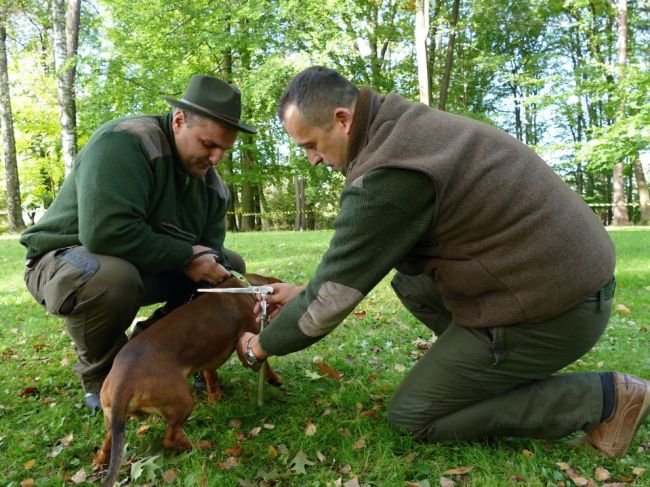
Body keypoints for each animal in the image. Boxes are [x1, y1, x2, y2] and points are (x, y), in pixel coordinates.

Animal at [93, 274, 278, 487]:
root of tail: (122, 384)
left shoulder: (208, 363)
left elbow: (211, 380)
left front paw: (215, 399)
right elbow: (265, 363)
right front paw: (274, 379)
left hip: (112, 421)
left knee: (106, 445)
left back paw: (99, 462)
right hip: (183, 402)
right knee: (170, 438)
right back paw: (200, 444)